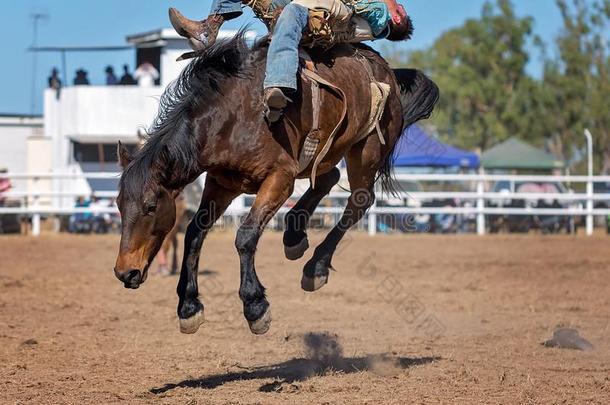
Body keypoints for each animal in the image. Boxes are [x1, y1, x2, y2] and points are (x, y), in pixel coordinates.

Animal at [114, 34, 436, 334]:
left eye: (150, 206)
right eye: (119, 205)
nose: (124, 272)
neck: (234, 116)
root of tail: (387, 71)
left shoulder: (279, 178)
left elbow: (245, 236)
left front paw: (255, 306)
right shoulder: (222, 184)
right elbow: (195, 231)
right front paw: (189, 307)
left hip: (365, 149)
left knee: (360, 200)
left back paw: (315, 267)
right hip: (327, 149)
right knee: (329, 178)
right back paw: (294, 234)